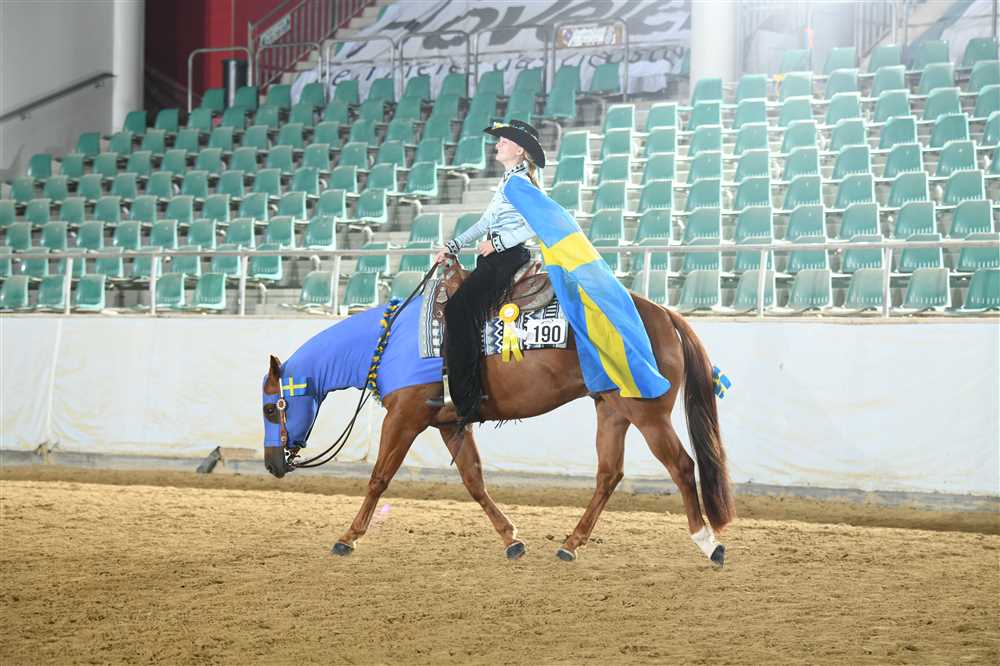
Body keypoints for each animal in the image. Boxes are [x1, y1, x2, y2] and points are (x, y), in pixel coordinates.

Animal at [261, 278, 735, 567]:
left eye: (270, 409)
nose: (271, 463)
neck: (389, 341)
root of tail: (664, 314)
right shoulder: (450, 425)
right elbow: (474, 482)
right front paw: (512, 539)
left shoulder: (405, 418)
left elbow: (379, 477)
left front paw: (348, 536)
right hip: (612, 411)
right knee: (608, 474)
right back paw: (570, 544)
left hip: (647, 413)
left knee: (681, 466)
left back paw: (708, 542)